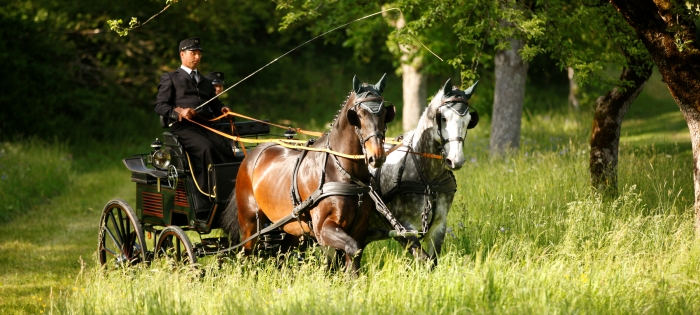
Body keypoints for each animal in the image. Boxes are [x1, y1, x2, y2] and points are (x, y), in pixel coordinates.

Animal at [221, 74, 394, 274]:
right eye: (359, 115)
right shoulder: (323, 228)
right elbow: (349, 250)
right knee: (246, 254)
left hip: (292, 227)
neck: (344, 173)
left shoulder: (358, 228)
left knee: (282, 254)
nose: (377, 156)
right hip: (250, 223)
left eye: (384, 115)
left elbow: (352, 258)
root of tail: (251, 155)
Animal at [366, 79, 476, 264]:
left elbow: (433, 261)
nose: (456, 160)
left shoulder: (438, 226)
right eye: (443, 118)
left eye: (469, 121)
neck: (428, 180)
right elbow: (424, 260)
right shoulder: (403, 229)